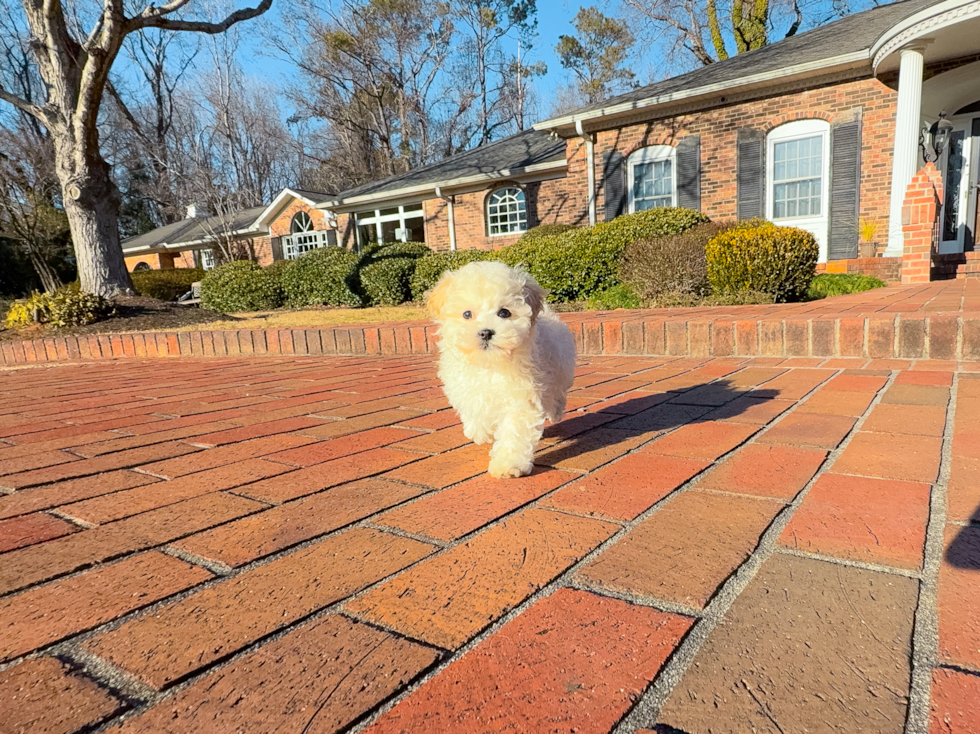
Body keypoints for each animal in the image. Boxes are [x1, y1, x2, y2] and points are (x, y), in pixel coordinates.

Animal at [426, 262, 580, 480]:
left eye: (504, 313)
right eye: (467, 314)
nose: (485, 332)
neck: (491, 363)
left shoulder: (522, 397)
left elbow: (514, 432)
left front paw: (508, 464)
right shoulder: (466, 387)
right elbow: (475, 412)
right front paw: (482, 432)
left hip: (560, 368)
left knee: (556, 395)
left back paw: (555, 411)